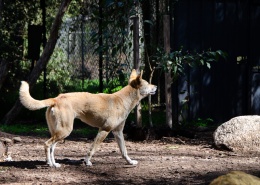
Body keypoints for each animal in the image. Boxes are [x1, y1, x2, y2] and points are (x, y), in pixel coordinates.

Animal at [19, 69, 156, 168]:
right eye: (147, 84)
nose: (155, 86)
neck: (123, 100)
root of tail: (57, 98)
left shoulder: (118, 132)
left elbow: (124, 151)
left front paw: (130, 162)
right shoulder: (104, 130)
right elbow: (93, 149)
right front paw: (87, 162)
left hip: (59, 132)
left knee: (52, 147)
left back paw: (53, 163)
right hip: (64, 131)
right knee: (47, 144)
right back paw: (51, 164)